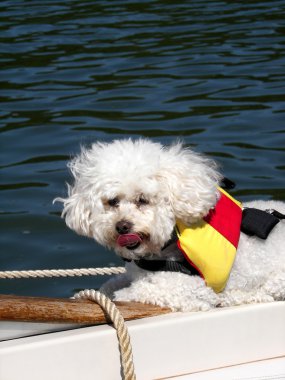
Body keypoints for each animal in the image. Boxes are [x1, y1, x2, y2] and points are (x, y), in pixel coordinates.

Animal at [57, 138, 284, 310]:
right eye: (113, 201)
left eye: (143, 200)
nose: (122, 226)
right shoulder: (134, 272)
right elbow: (112, 283)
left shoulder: (190, 286)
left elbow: (146, 289)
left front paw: (123, 294)